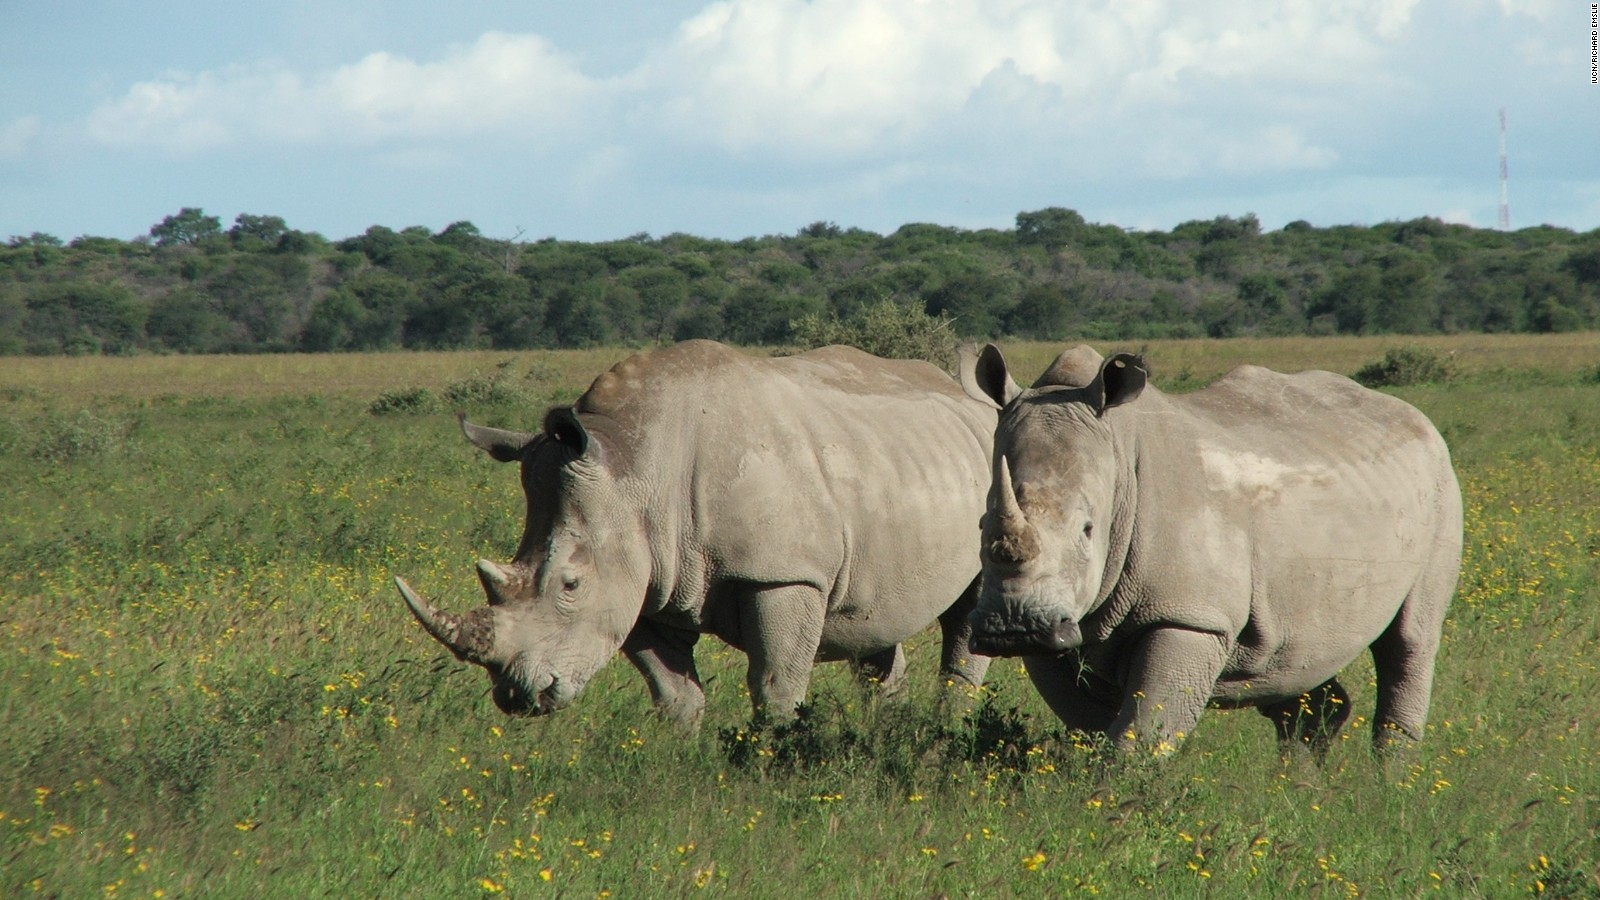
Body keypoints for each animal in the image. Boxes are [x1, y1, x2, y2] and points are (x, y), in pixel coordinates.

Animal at [393, 339, 992, 723]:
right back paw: (886, 731)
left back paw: (948, 728)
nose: (519, 697)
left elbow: (777, 684)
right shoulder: (645, 577)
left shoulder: (783, 573)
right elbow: (673, 693)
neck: (633, 465)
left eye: (570, 584)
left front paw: (774, 755)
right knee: (877, 625)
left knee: (968, 615)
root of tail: (980, 406)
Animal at [960, 342, 1465, 755]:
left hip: (1442, 485)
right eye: (981, 525)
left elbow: (1142, 734)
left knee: (1411, 640)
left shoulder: (1190, 614)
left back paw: (1389, 785)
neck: (1119, 455)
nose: (1013, 627)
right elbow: (1091, 726)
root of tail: (1418, 418)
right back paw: (1302, 789)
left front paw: (1119, 802)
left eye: (1087, 529)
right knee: (1299, 665)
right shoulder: (1063, 630)